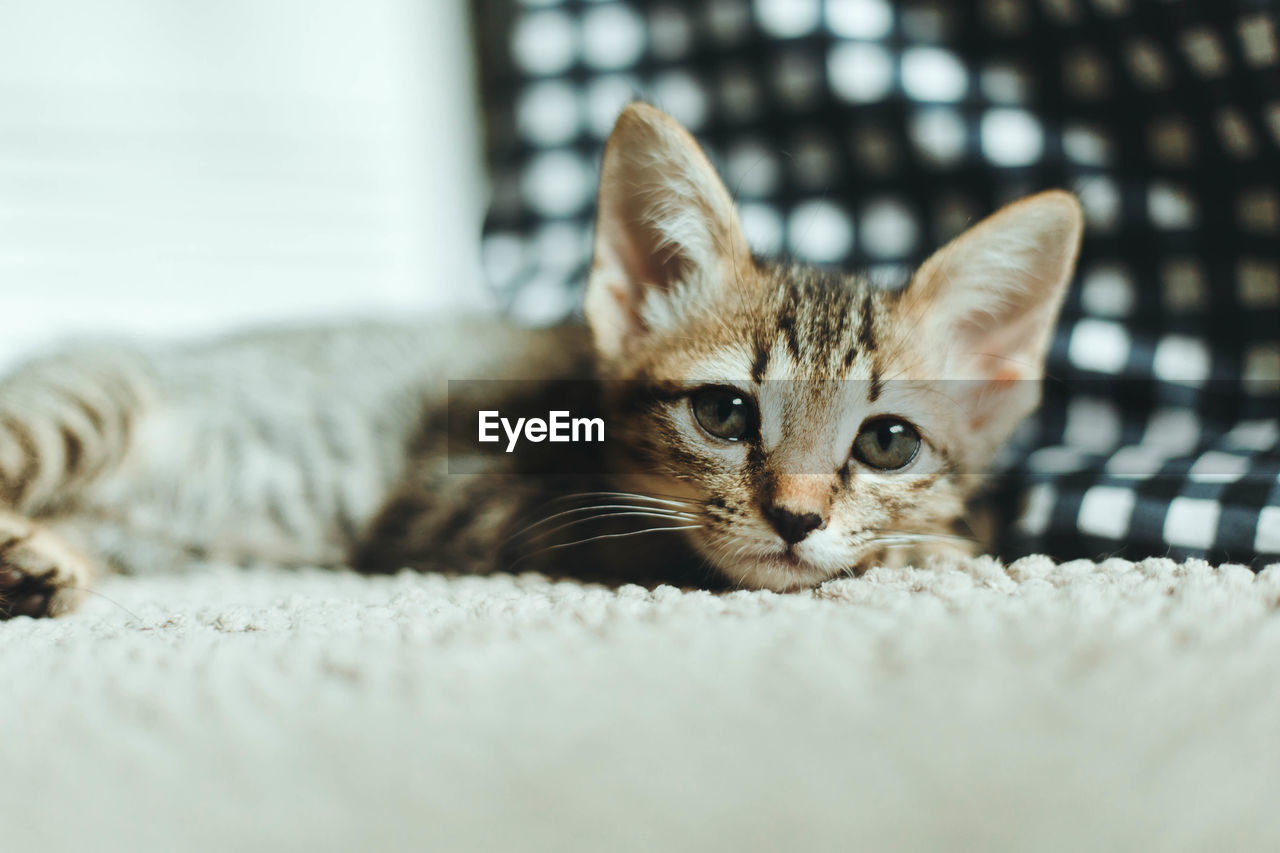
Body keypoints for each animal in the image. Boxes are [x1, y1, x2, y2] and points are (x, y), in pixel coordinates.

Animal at [0, 103, 1080, 614]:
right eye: (724, 413)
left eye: (888, 442)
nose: (796, 516)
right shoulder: (454, 500)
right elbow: (671, 547)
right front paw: (923, 548)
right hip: (88, 400)